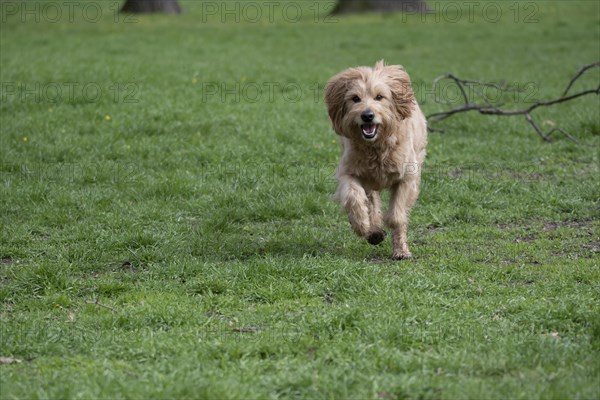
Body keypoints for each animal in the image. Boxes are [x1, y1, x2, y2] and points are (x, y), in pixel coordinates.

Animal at [324, 59, 426, 260]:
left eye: (380, 97)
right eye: (355, 98)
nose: (367, 115)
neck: (376, 147)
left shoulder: (407, 177)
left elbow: (397, 216)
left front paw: (401, 249)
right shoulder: (348, 171)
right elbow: (353, 196)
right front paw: (361, 224)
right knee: (371, 200)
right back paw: (374, 230)